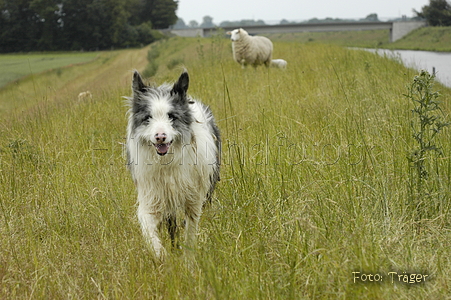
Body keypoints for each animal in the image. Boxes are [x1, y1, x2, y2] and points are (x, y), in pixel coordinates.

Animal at [125, 71, 221, 258]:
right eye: (148, 118)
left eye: (171, 116)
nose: (160, 137)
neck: (167, 162)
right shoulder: (152, 197)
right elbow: (149, 229)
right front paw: (162, 255)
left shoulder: (193, 199)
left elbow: (190, 232)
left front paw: (188, 259)